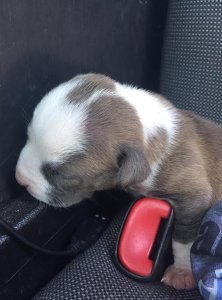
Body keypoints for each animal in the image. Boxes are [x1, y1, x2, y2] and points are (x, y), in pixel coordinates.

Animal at [15, 73, 222, 290]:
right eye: (27, 137)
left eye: (61, 175)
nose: (19, 178)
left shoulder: (192, 195)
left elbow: (184, 238)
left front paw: (182, 270)